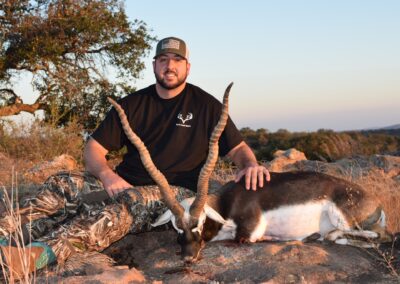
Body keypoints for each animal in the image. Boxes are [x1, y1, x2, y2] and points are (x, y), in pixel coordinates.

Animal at [107, 83, 390, 262]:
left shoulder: (248, 233)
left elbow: (243, 239)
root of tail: (375, 202)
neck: (226, 205)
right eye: (176, 227)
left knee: (369, 236)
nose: (187, 258)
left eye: (199, 223)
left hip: (345, 220)